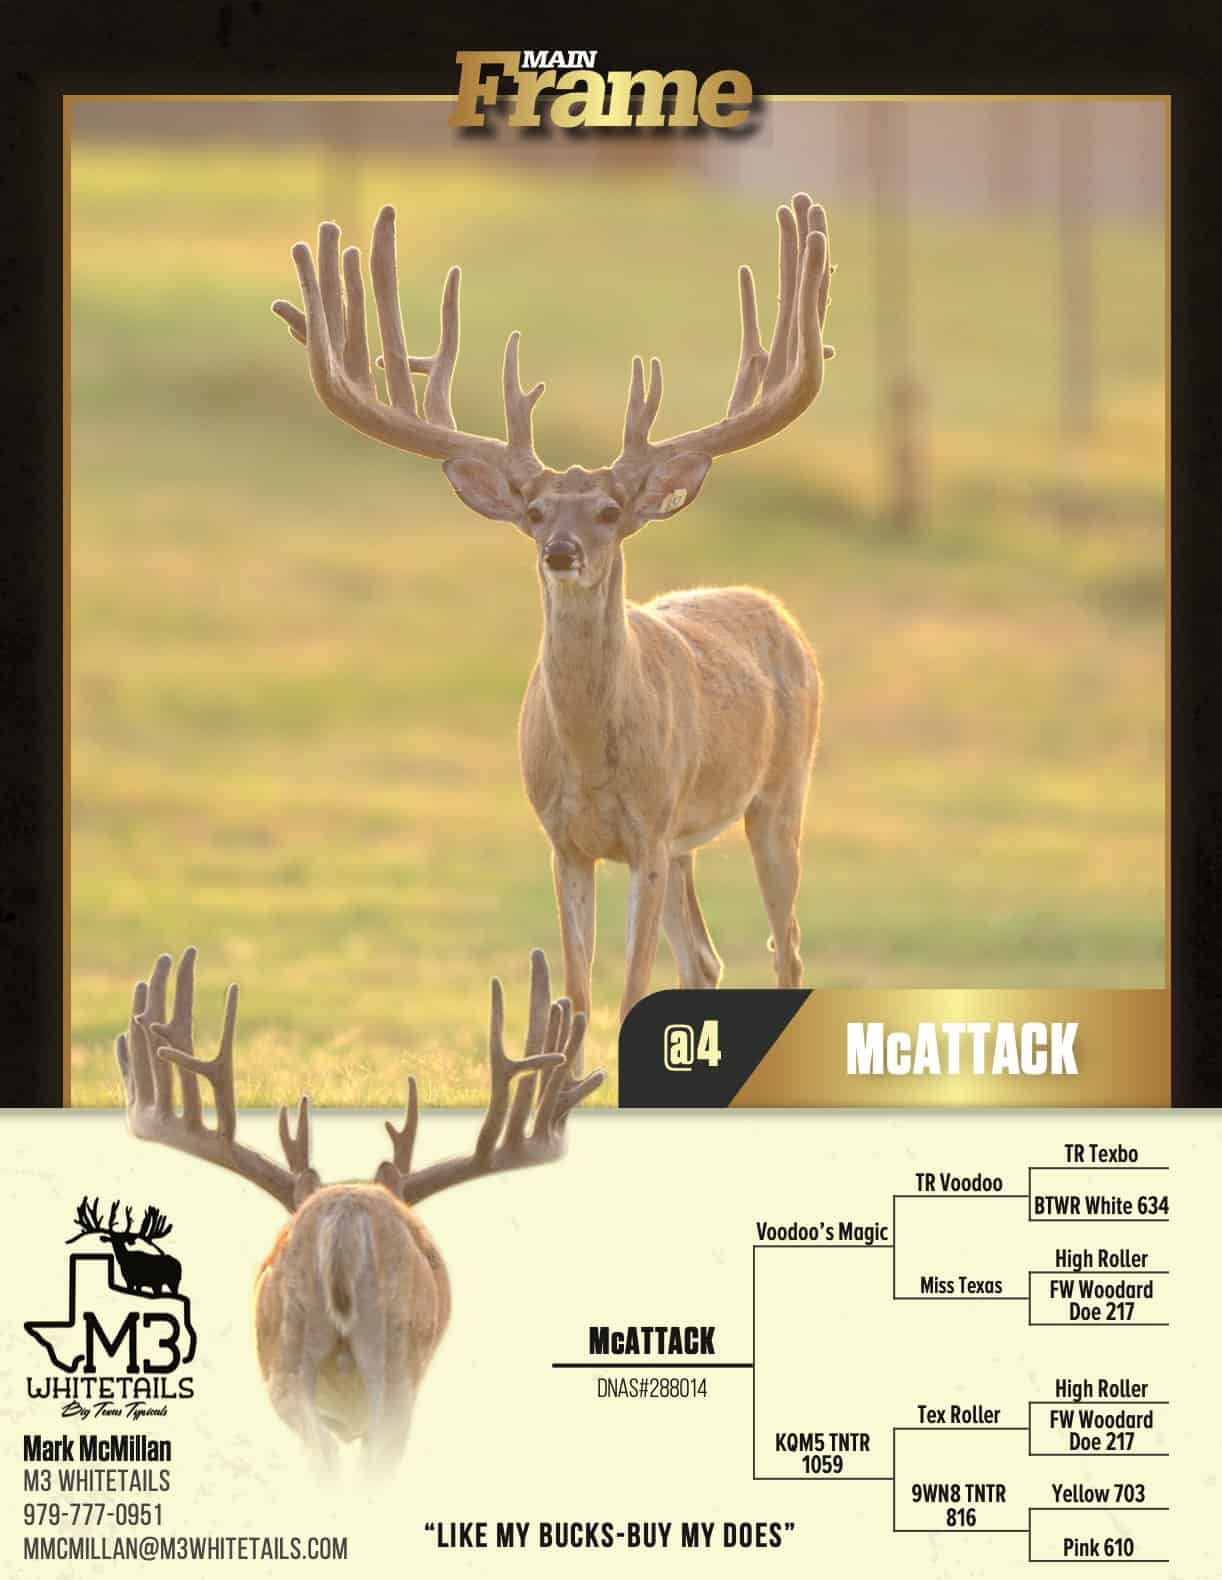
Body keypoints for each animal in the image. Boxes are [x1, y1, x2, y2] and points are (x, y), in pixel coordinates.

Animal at [272, 192, 834, 1025]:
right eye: (535, 512)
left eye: (609, 510)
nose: (561, 552)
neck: (594, 758)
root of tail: (775, 611)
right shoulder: (565, 839)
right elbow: (577, 988)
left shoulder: (649, 830)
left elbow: (630, 987)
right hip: (688, 842)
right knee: (704, 958)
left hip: (780, 791)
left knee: (786, 946)